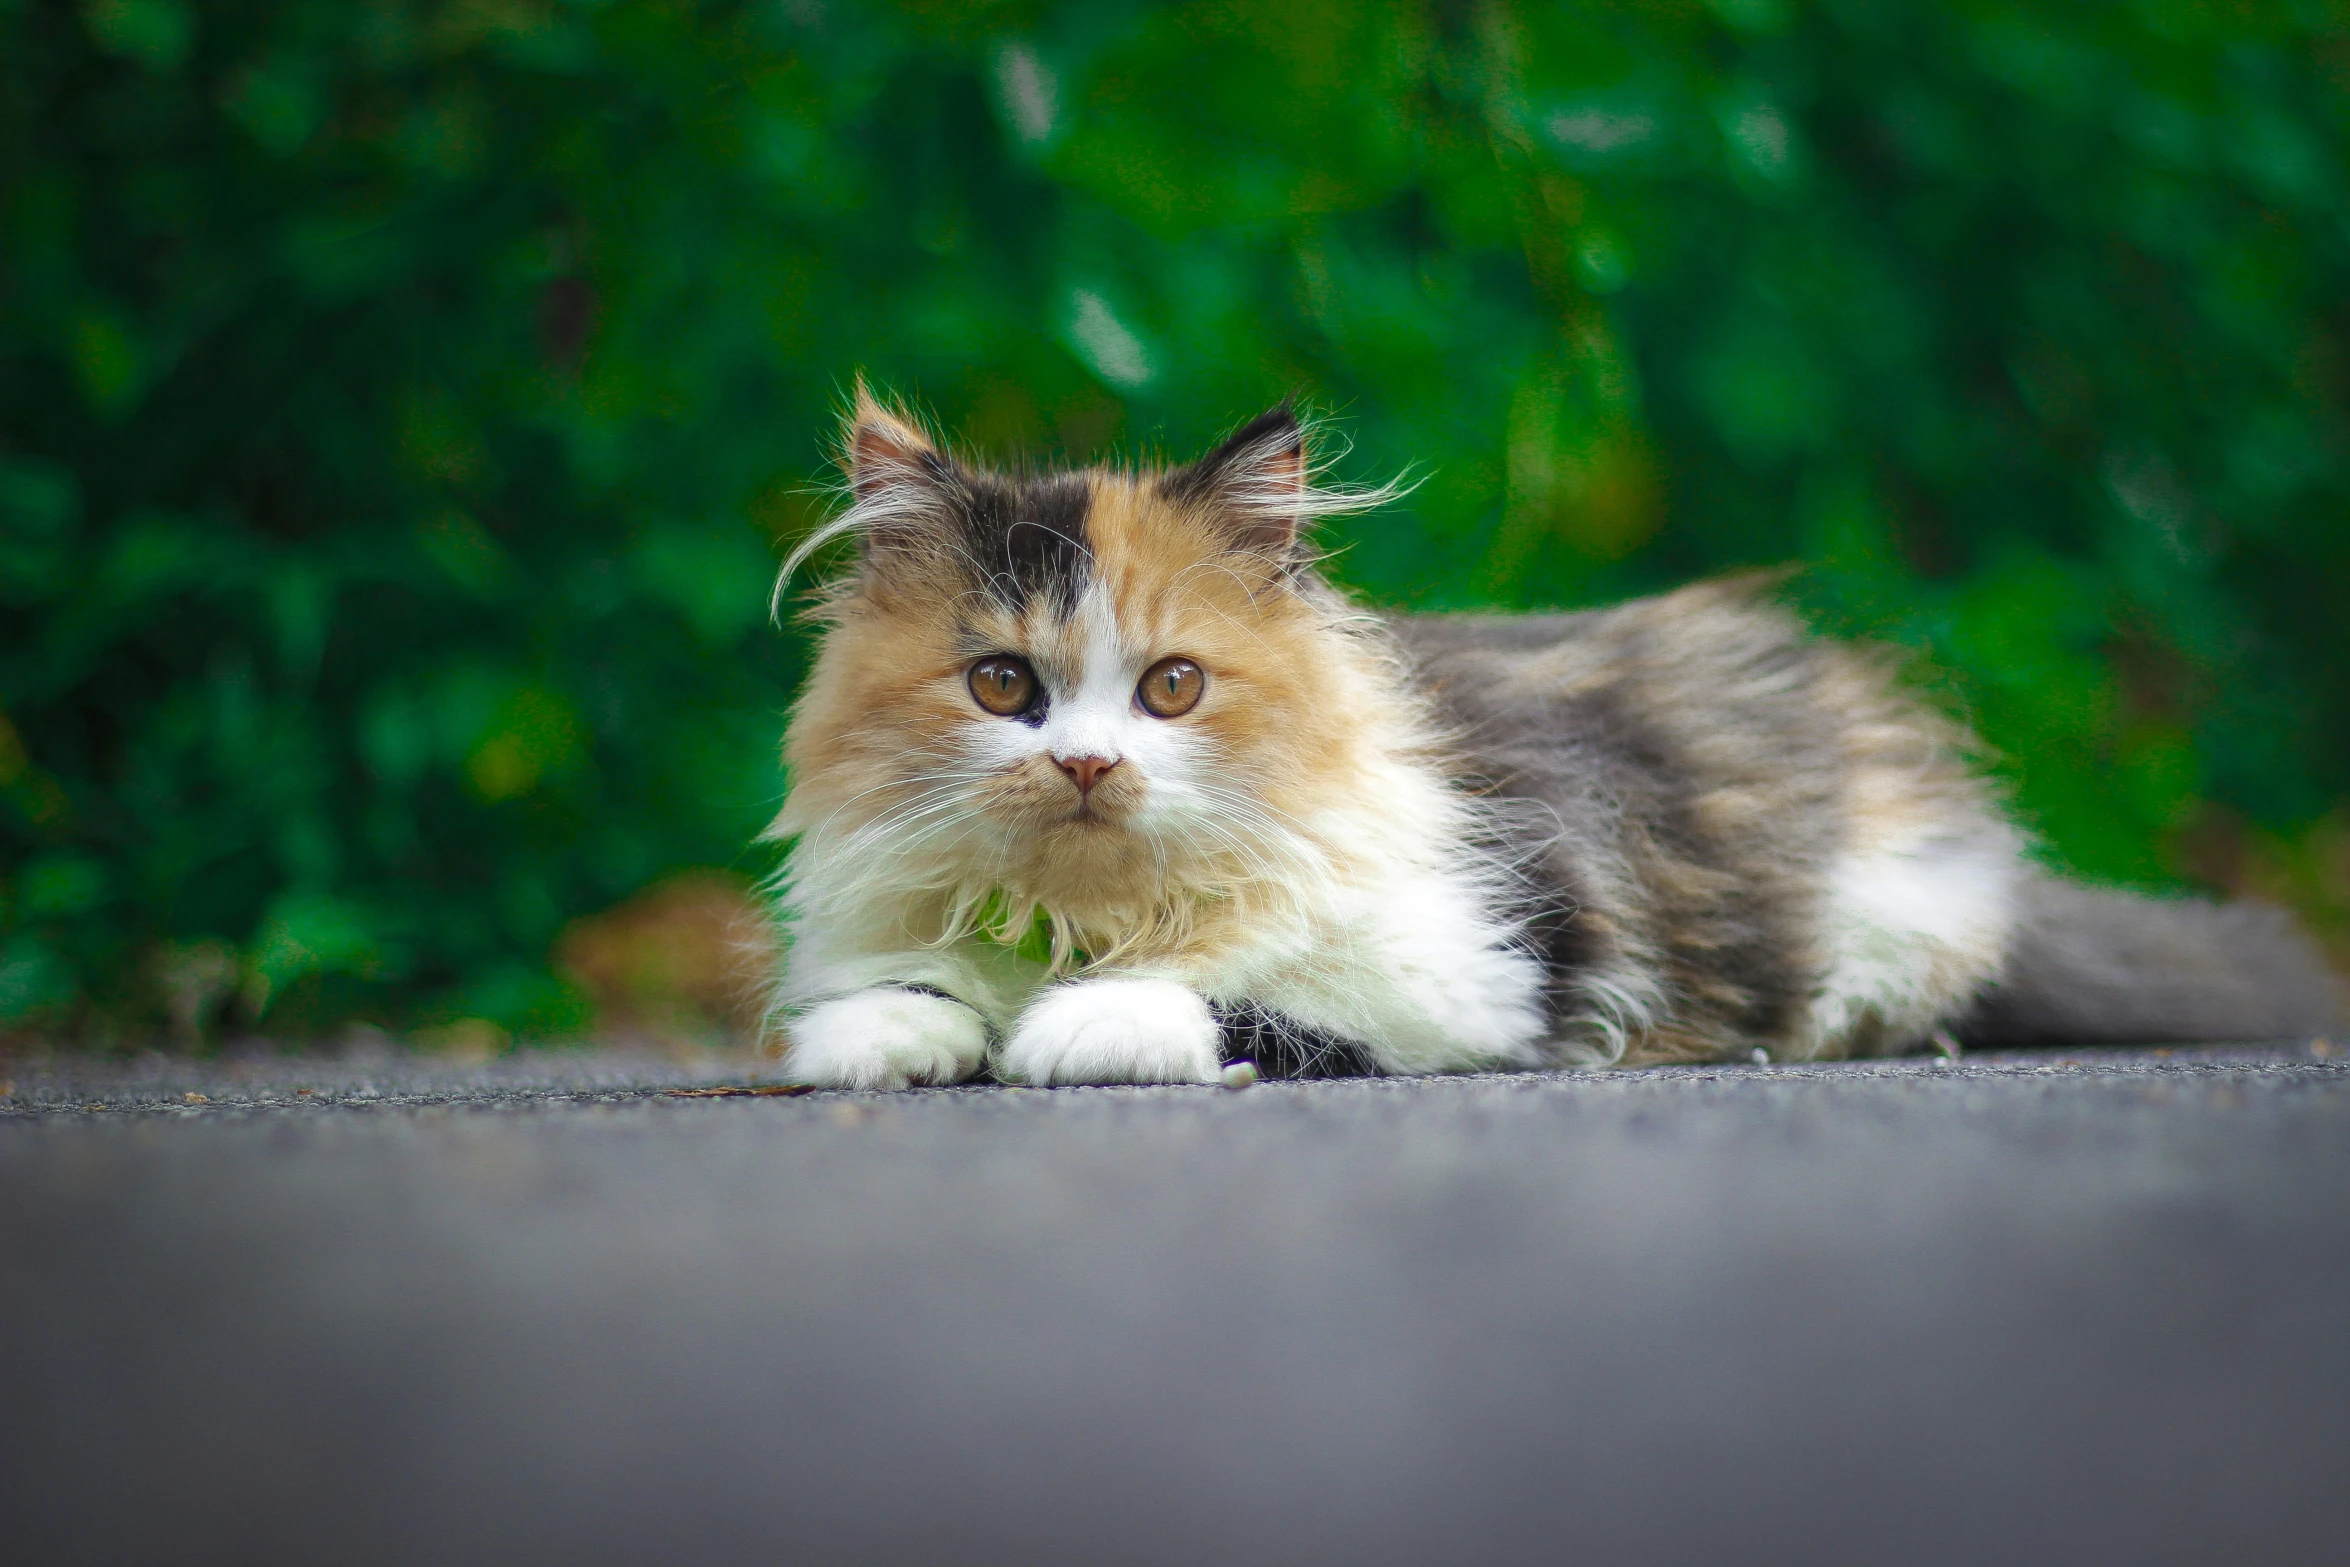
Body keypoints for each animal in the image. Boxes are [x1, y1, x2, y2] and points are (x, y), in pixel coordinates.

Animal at [761, 389, 2340, 1090]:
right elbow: (890, 996)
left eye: (1171, 688)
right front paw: (899, 1037)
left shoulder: (1472, 967)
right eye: (1001, 687)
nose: (1087, 764)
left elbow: (1235, 995)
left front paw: (1074, 1025)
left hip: (1885, 914)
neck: (1093, 917)